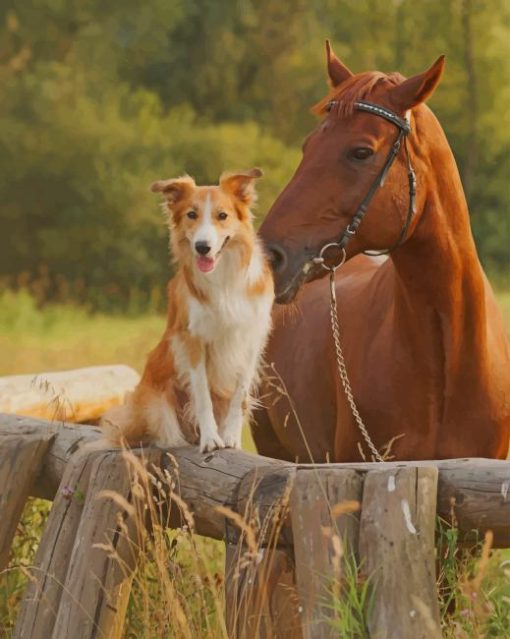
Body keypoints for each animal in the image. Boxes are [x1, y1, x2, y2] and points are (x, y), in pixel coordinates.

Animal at [100, 168, 274, 452]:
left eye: (222, 215)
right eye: (191, 215)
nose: (202, 247)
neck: (223, 278)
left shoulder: (251, 338)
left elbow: (240, 395)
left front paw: (230, 437)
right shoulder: (191, 339)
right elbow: (202, 394)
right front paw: (211, 438)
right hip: (157, 404)